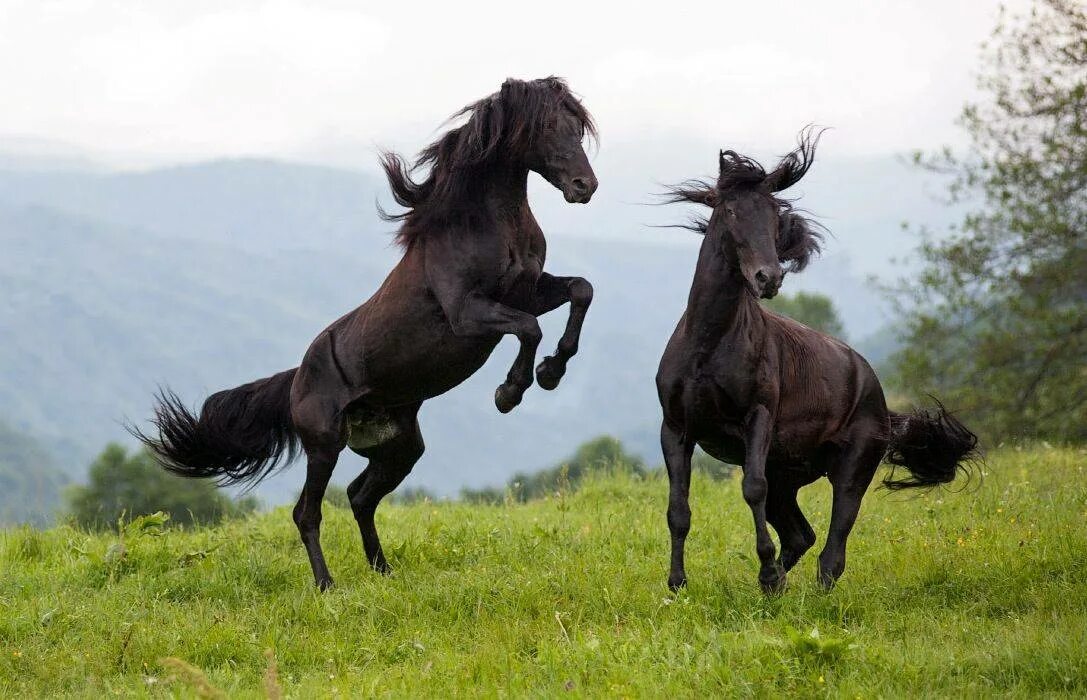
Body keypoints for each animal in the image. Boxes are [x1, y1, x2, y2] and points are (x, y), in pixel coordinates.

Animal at [133, 77, 604, 591]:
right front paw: (511, 391)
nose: (585, 186)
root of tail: (297, 377)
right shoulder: (468, 314)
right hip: (324, 445)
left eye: (577, 126)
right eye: (545, 126)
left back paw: (383, 570)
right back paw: (326, 586)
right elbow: (529, 328)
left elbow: (580, 291)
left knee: (361, 496)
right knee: (307, 512)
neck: (483, 225)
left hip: (400, 448)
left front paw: (552, 371)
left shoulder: (530, 292)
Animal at [656, 128, 982, 591]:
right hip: (788, 476)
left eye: (775, 214)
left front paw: (766, 571)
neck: (707, 344)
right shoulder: (676, 429)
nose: (768, 278)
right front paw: (677, 585)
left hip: (851, 469)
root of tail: (879, 397)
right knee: (801, 535)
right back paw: (776, 584)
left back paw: (797, 586)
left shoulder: (757, 418)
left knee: (833, 547)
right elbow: (678, 510)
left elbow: (751, 488)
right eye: (731, 210)